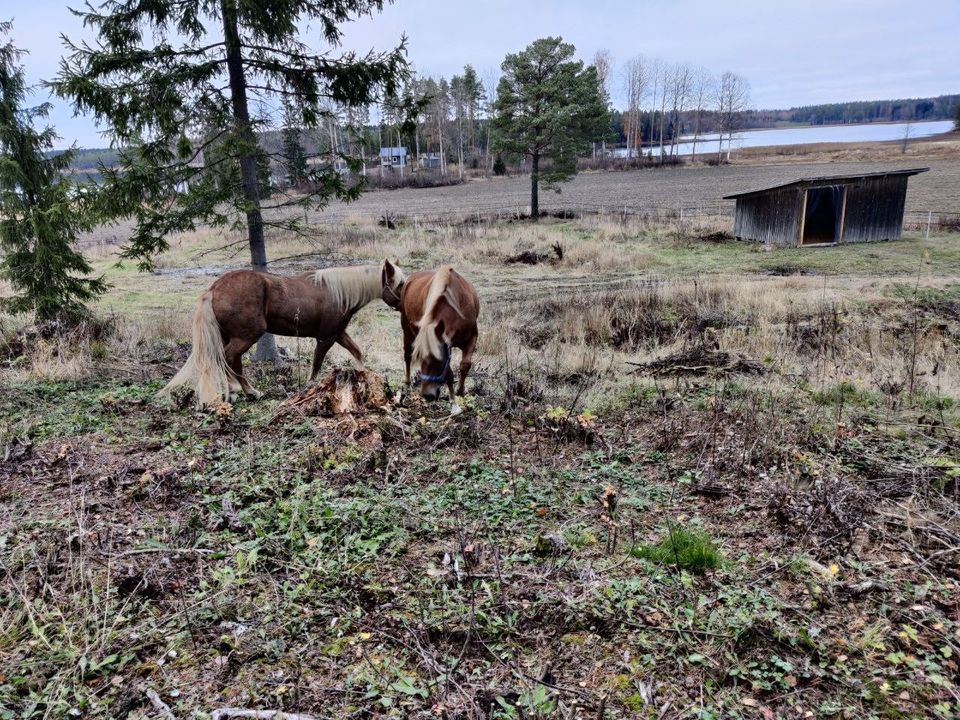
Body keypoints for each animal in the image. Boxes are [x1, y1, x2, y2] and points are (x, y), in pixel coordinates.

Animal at [158, 258, 404, 404]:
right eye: (399, 283)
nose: (405, 305)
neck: (338, 292)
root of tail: (214, 289)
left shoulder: (338, 334)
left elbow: (358, 353)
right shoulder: (326, 338)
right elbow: (317, 363)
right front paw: (310, 385)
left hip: (230, 335)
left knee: (232, 360)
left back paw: (245, 391)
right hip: (248, 335)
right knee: (228, 358)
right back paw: (242, 390)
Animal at [400, 264, 480, 402]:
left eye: (438, 360)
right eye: (420, 358)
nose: (427, 395)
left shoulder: (471, 337)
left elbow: (465, 365)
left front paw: (460, 391)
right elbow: (449, 373)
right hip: (407, 331)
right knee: (407, 355)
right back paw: (407, 383)